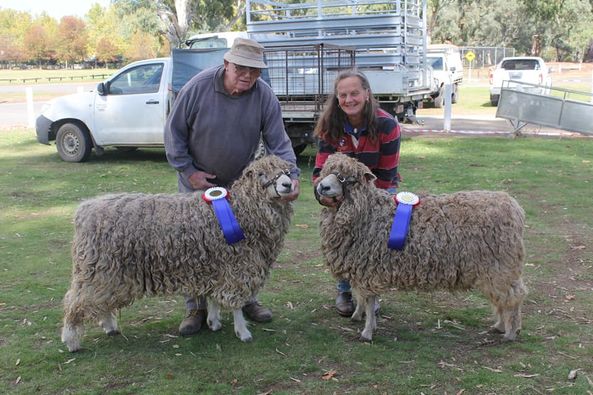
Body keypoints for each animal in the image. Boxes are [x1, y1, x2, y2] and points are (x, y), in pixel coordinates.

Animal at [61, 155, 294, 352]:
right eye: (261, 173)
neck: (240, 210)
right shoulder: (237, 266)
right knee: (75, 300)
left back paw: (110, 327)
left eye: (287, 171)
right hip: (97, 270)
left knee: (100, 300)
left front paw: (214, 321)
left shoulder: (217, 265)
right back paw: (71, 341)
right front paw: (243, 332)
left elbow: (214, 298)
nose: (287, 185)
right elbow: (236, 304)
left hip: (108, 273)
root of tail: (83, 211)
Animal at [314, 154, 528, 344]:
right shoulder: (362, 267)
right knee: (504, 298)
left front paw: (367, 332)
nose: (323, 187)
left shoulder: (368, 268)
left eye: (349, 178)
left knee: (514, 297)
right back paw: (500, 326)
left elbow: (369, 300)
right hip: (496, 269)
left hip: (500, 266)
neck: (367, 212)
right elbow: (363, 298)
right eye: (326, 171)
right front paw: (359, 316)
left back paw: (510, 332)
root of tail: (515, 208)